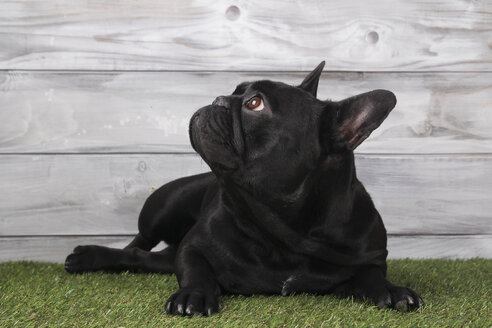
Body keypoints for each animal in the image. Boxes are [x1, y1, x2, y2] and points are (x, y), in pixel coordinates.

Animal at [65, 61, 424, 316]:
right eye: (236, 91)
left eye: (254, 103)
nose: (219, 99)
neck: (284, 231)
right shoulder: (194, 246)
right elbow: (195, 268)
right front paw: (193, 294)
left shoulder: (370, 256)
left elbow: (371, 275)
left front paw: (392, 290)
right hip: (163, 207)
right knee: (138, 245)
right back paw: (87, 256)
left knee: (144, 258)